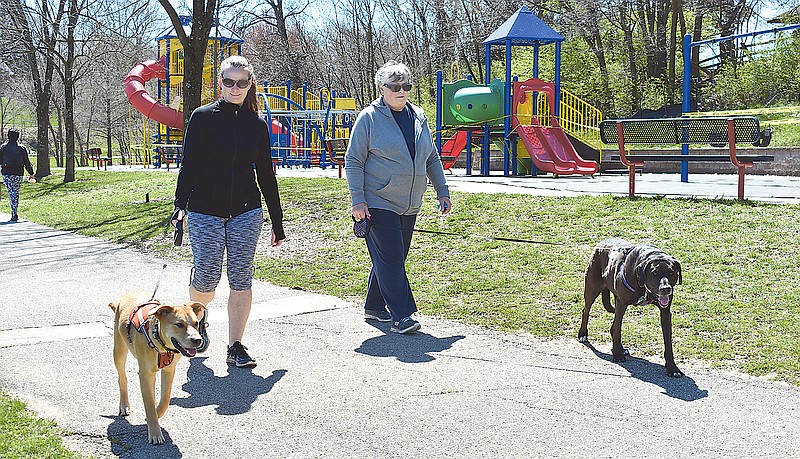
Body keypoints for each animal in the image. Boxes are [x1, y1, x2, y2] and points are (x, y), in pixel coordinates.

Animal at [109, 294, 206, 446]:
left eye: (196, 323)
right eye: (179, 324)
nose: (197, 340)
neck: (161, 343)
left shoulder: (169, 370)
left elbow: (165, 399)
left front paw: (157, 412)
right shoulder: (145, 375)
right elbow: (148, 405)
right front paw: (155, 433)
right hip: (119, 351)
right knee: (122, 378)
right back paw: (124, 405)